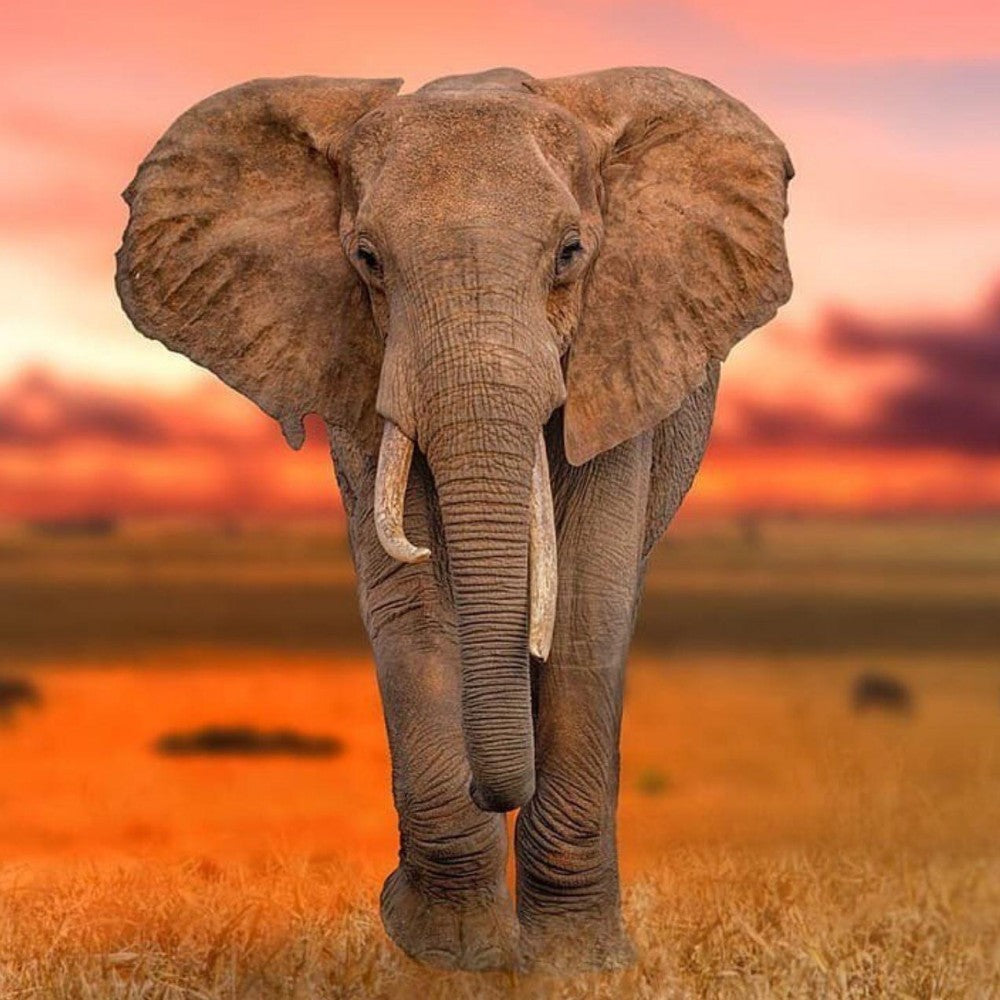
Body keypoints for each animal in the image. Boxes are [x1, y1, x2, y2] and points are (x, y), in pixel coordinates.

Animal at [115, 65, 792, 973]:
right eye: (367, 259)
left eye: (570, 253)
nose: (384, 892)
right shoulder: (363, 362)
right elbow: (413, 606)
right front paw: (451, 951)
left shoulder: (620, 355)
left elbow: (585, 601)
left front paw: (572, 964)